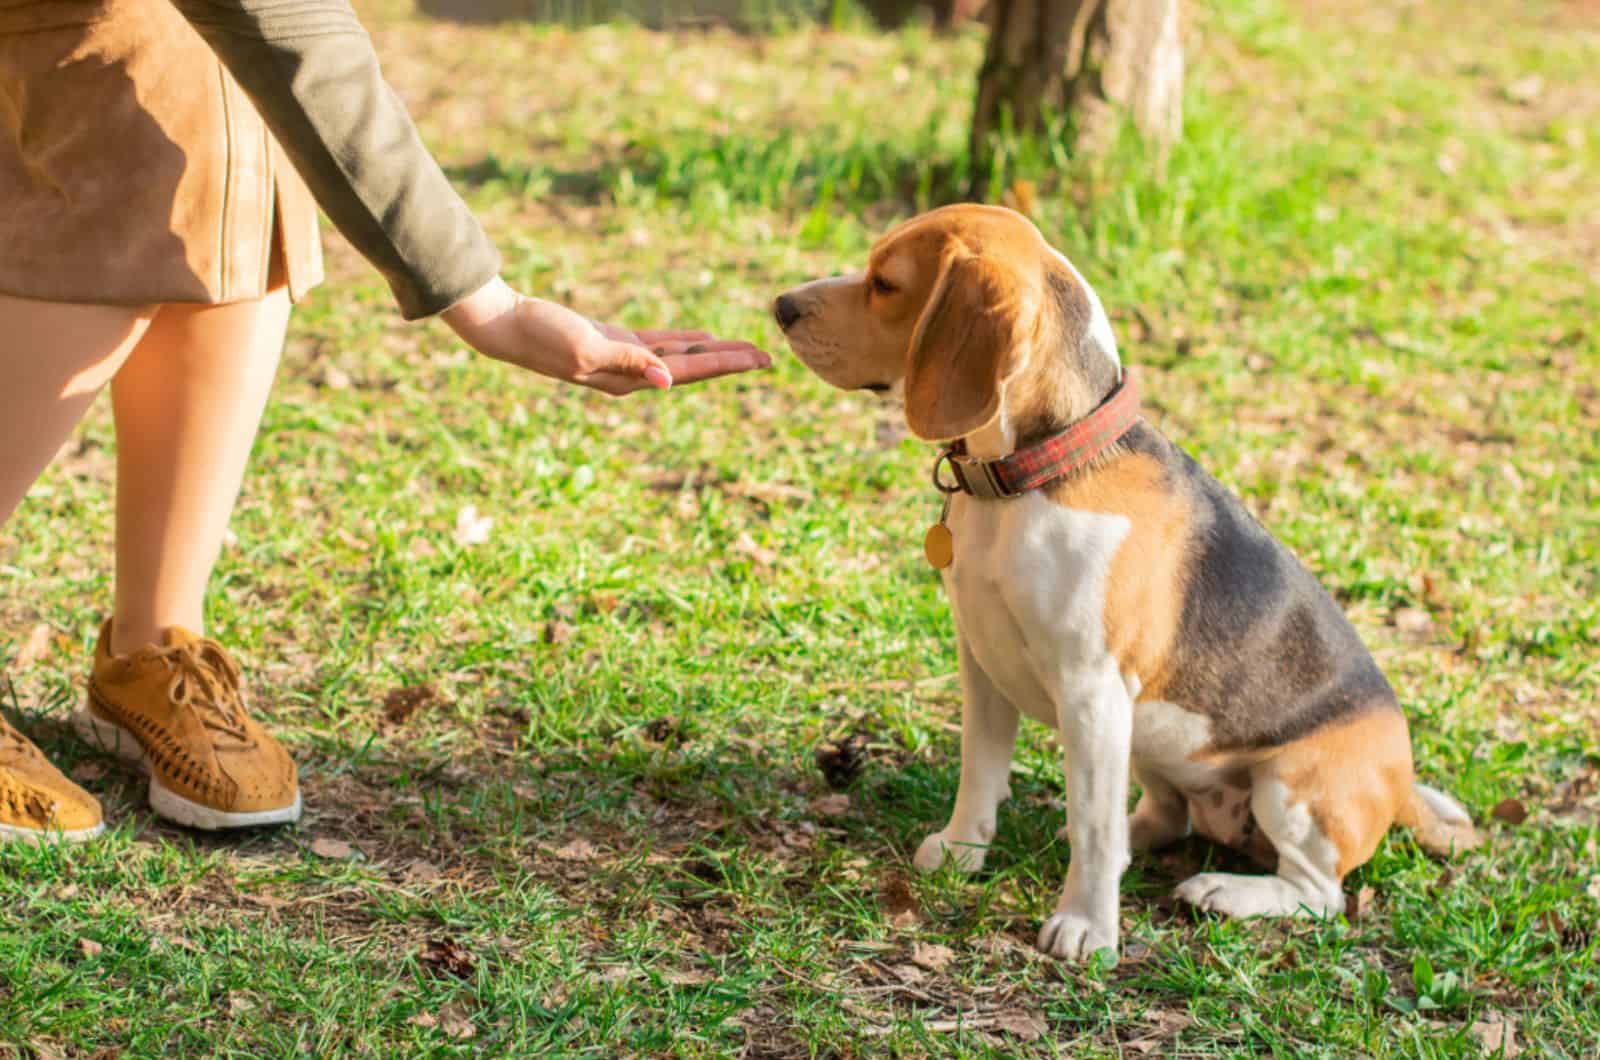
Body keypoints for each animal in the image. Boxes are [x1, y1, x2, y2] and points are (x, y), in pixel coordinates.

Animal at [771, 203, 1472, 967]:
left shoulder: (1091, 687)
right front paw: (962, 850)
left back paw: (1225, 892)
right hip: (1148, 743)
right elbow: (981, 771)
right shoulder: (982, 661)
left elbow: (1094, 826)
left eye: (886, 284)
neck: (1033, 475)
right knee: (1158, 816)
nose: (781, 305)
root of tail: (1400, 779)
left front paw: (1085, 926)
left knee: (1318, 893)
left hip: (1288, 790)